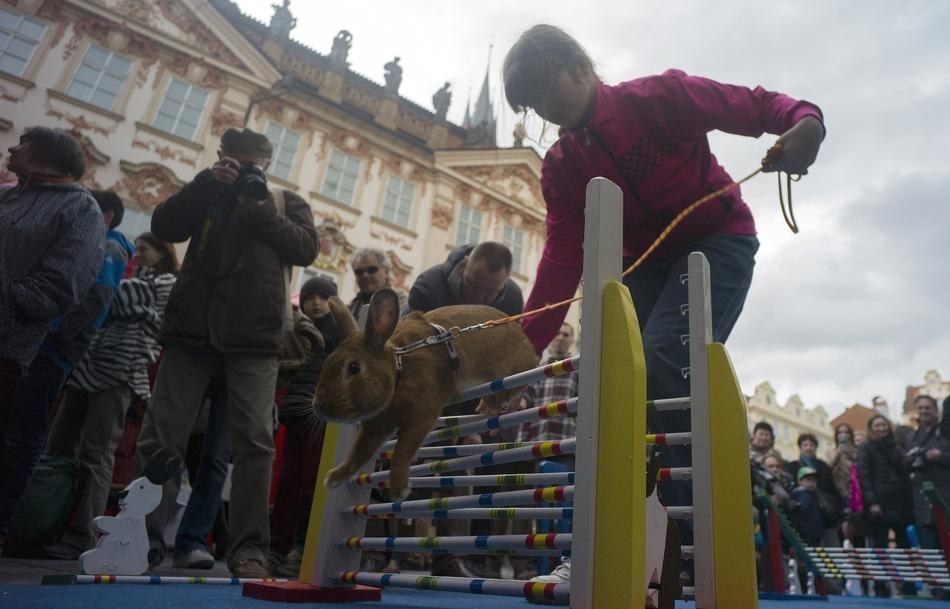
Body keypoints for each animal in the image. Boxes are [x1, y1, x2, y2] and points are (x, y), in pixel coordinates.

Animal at [310, 288, 536, 496]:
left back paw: (496, 403)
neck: (399, 370)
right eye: (327, 363)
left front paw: (399, 489)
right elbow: (358, 454)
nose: (319, 405)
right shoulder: (375, 429)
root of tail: (529, 347)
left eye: (354, 368)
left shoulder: (422, 415)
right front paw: (333, 478)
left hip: (513, 375)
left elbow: (402, 450)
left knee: (514, 390)